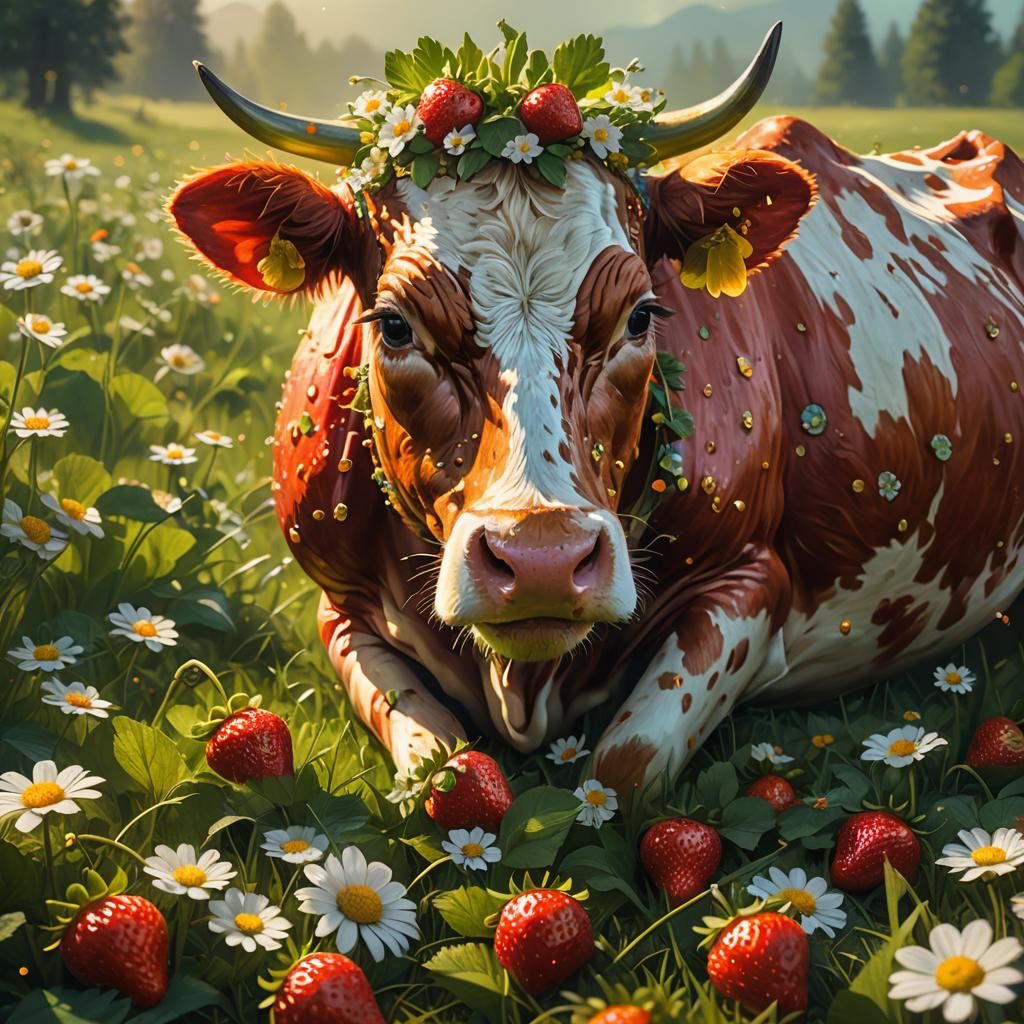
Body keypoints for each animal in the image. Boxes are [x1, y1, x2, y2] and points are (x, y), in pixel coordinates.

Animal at [169, 31, 1024, 801]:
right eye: (393, 325)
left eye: (642, 315)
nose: (542, 560)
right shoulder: (336, 605)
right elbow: (437, 767)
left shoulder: (751, 584)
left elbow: (624, 767)